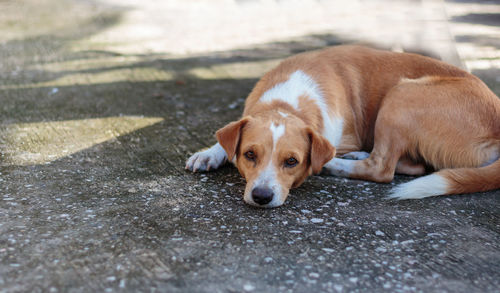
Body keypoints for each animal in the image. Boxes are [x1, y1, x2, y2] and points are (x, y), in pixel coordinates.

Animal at [185, 45, 500, 208]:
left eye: (291, 161)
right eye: (250, 155)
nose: (262, 197)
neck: (287, 103)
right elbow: (228, 136)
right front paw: (209, 153)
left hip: (402, 94)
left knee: (383, 167)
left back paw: (336, 164)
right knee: (414, 165)